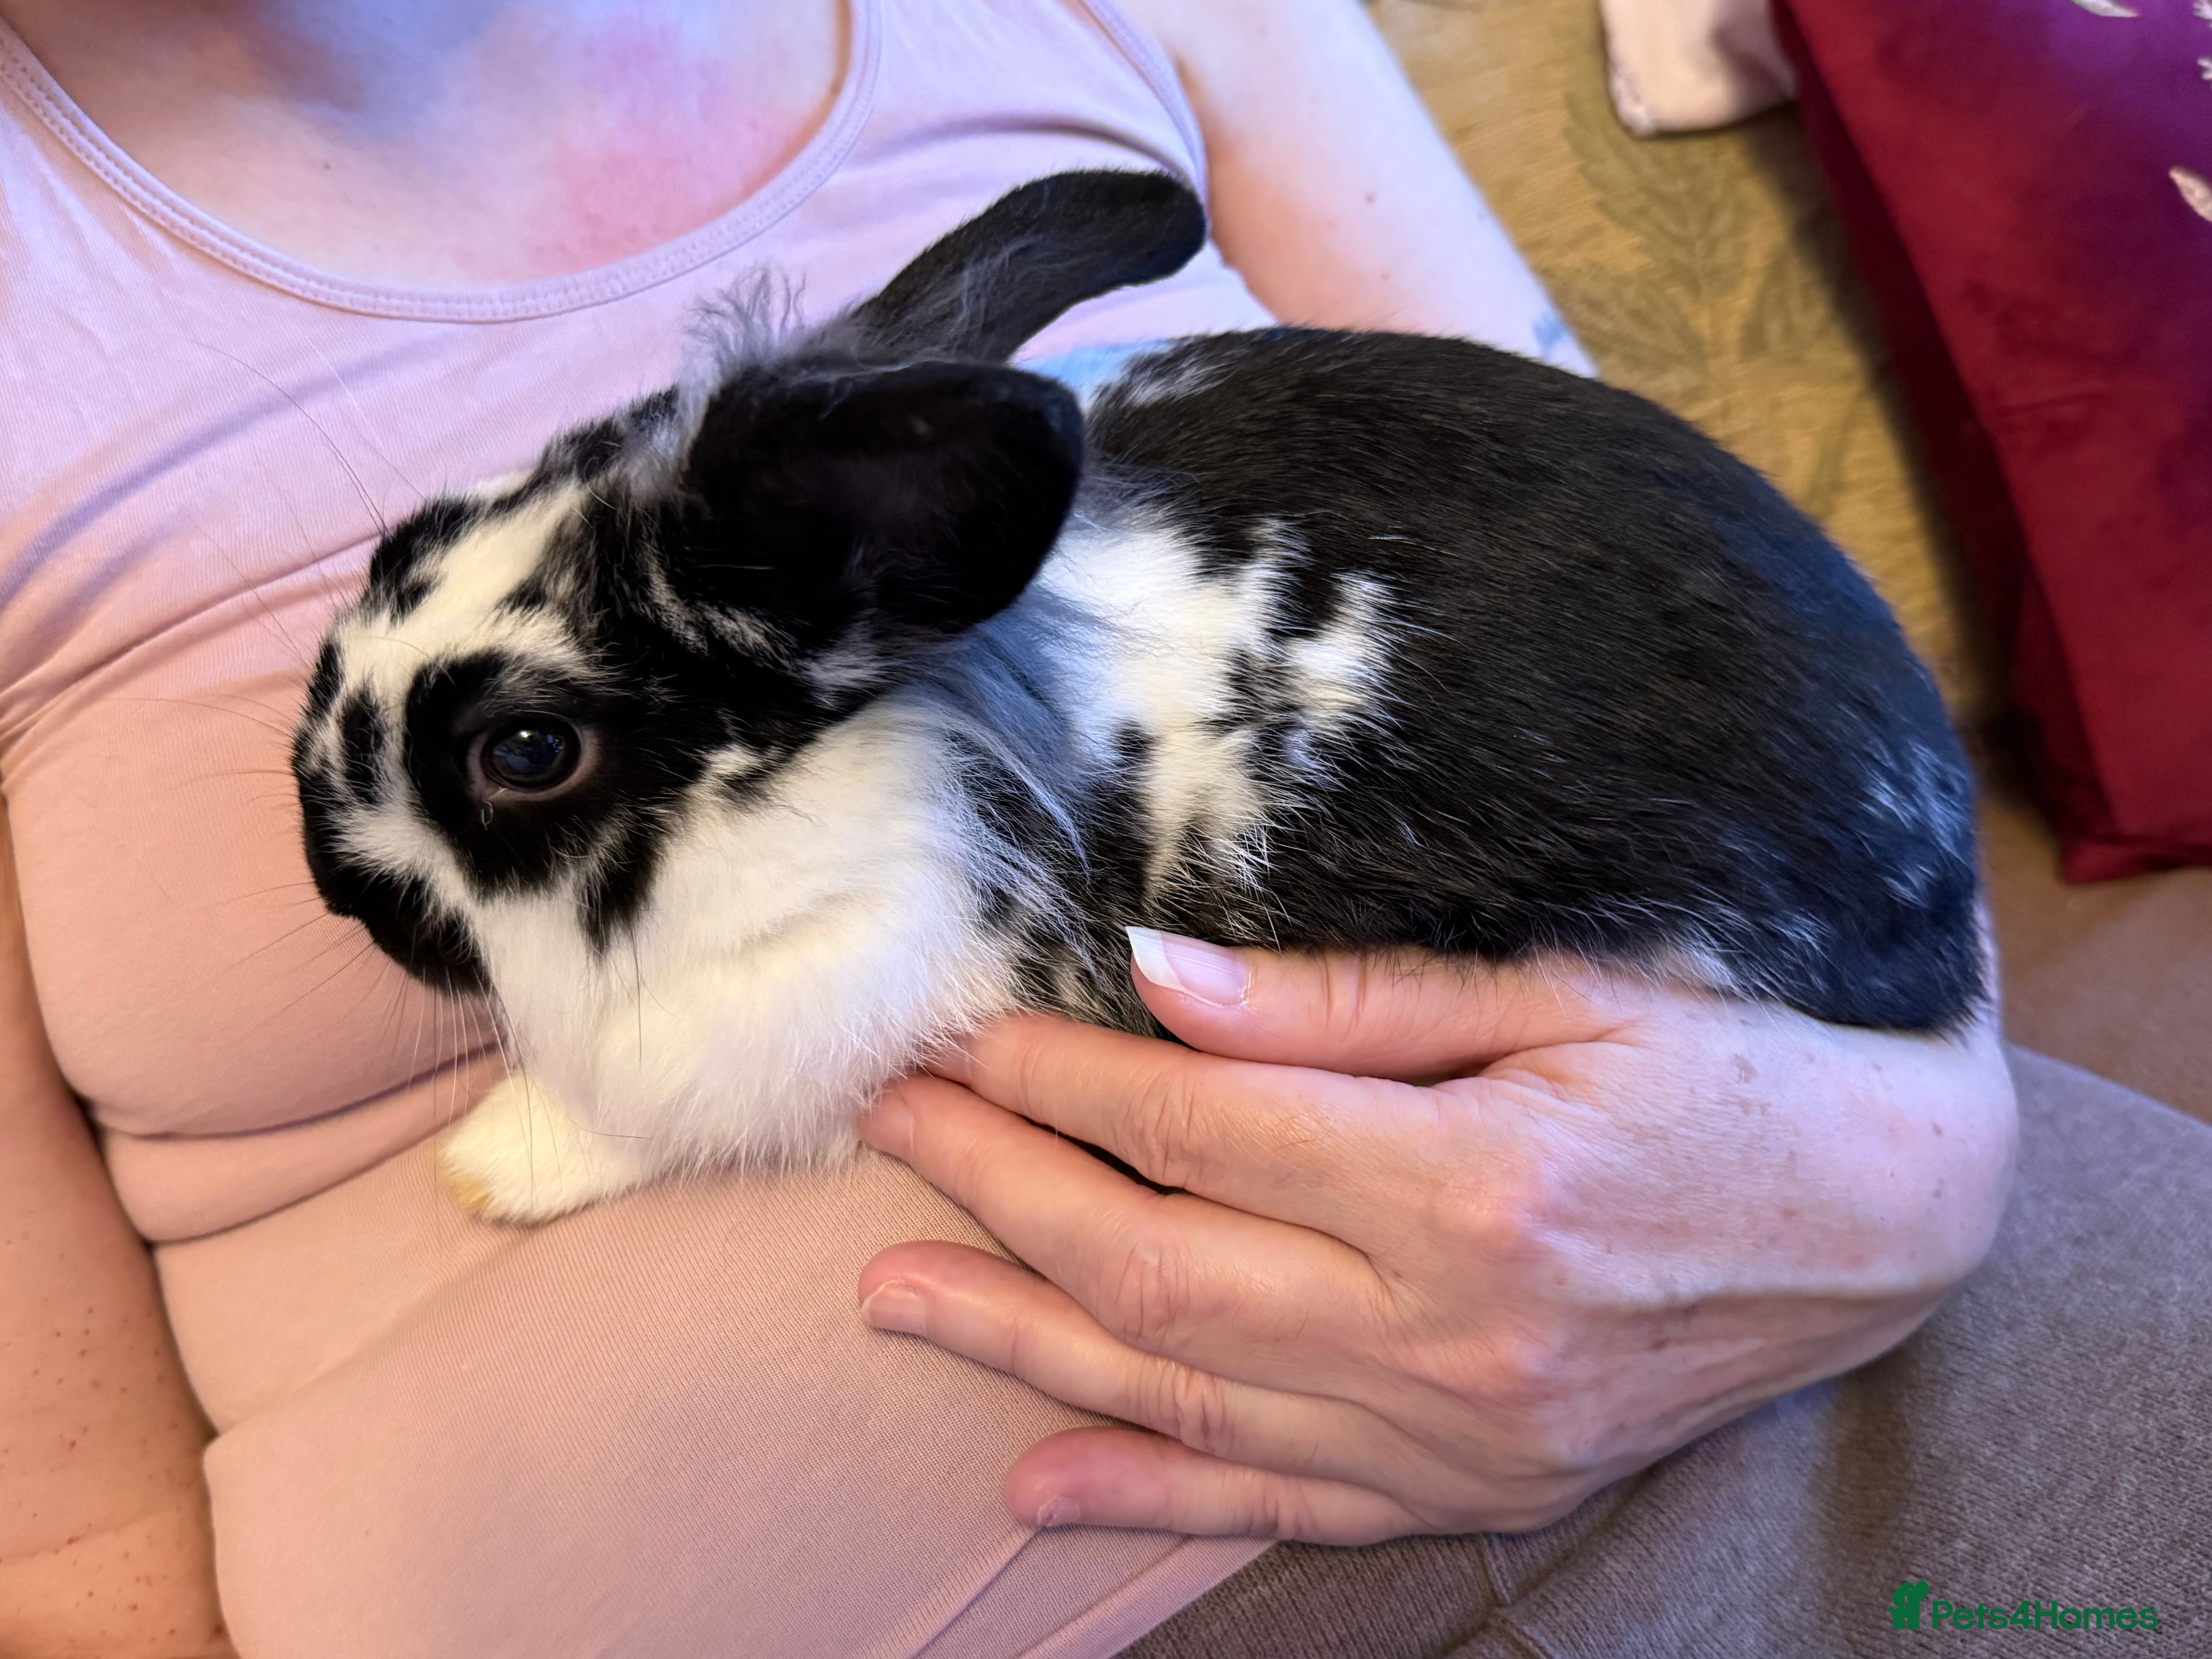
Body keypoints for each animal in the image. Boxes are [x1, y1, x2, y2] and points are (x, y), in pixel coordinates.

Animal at [292, 170, 1984, 1224]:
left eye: (526, 751)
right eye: (399, 544)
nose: (335, 896)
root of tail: (1950, 906)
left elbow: (642, 1126)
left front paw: (489, 1167)